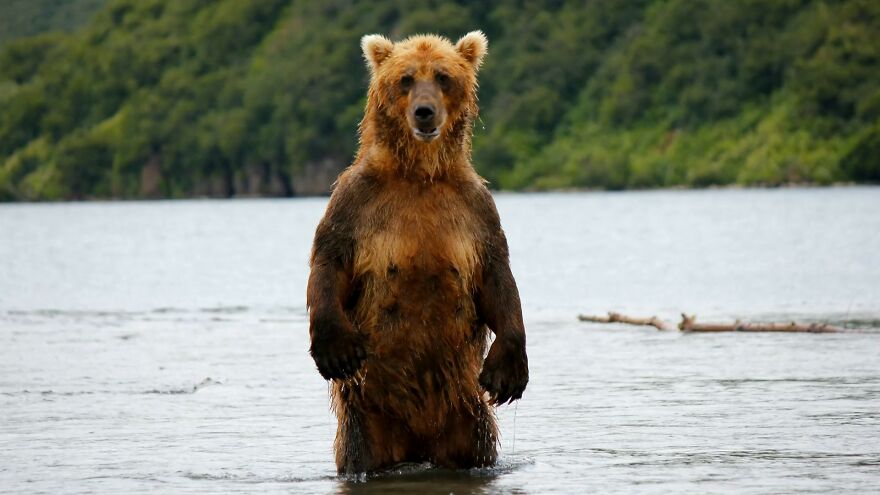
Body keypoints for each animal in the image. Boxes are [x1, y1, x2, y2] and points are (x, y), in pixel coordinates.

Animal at [306, 31, 528, 474]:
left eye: (443, 77)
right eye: (406, 79)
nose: (425, 113)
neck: (419, 175)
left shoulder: (474, 209)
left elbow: (496, 276)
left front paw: (508, 371)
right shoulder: (356, 201)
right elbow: (331, 259)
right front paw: (336, 349)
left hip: (467, 414)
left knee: (476, 447)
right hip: (367, 416)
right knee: (360, 453)